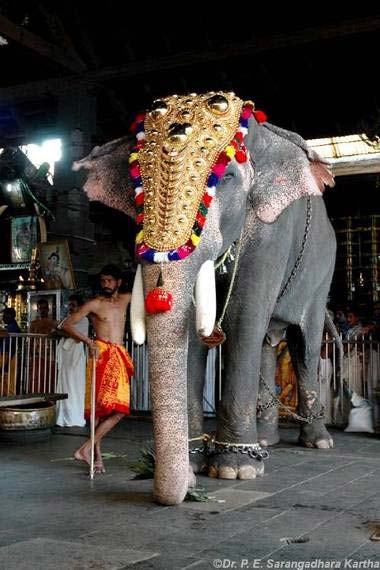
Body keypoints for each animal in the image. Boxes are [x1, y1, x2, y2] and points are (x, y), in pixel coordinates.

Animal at [73, 91, 336, 504]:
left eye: (225, 178)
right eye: (136, 185)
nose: (186, 486)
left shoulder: (271, 232)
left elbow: (244, 319)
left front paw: (234, 469)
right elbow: (198, 337)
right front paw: (196, 462)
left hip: (322, 271)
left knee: (304, 344)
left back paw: (317, 442)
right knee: (268, 342)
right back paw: (265, 441)